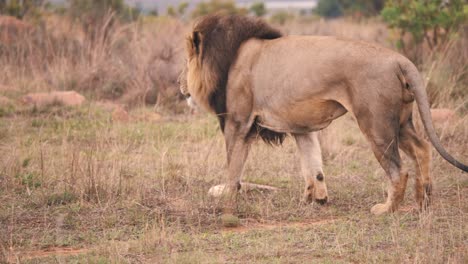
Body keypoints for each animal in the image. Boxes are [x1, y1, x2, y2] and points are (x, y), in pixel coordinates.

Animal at [178, 14, 464, 221]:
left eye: (186, 62)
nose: (180, 84)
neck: (230, 57)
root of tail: (399, 59)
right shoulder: (300, 128)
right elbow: (312, 165)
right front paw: (314, 200)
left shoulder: (238, 122)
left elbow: (233, 167)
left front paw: (228, 199)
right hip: (401, 122)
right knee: (422, 148)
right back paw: (423, 202)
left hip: (376, 123)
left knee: (399, 170)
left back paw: (386, 209)